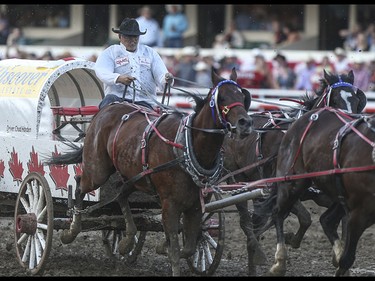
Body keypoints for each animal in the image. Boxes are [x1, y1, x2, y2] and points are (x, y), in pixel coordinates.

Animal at [45, 68, 254, 276]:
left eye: (242, 96)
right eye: (222, 98)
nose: (245, 123)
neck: (187, 147)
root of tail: (105, 110)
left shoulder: (196, 204)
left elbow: (189, 247)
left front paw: (162, 246)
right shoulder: (169, 203)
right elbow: (176, 249)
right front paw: (168, 250)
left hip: (134, 177)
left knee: (121, 195)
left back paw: (127, 240)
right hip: (98, 170)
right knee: (80, 184)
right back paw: (71, 230)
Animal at [264, 107, 375, 276]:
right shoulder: (360, 212)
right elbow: (347, 260)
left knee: (327, 220)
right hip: (292, 183)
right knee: (278, 213)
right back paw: (279, 262)